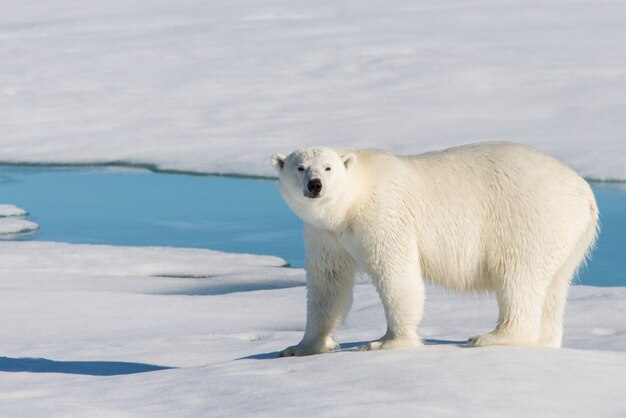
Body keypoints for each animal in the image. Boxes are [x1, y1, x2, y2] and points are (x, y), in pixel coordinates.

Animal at [270, 141, 596, 356]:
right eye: (300, 167)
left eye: (328, 167)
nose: (315, 185)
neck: (354, 199)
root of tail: (585, 193)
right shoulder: (325, 234)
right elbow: (328, 282)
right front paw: (301, 347)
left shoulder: (384, 214)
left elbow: (396, 273)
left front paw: (385, 342)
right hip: (568, 237)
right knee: (554, 286)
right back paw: (545, 341)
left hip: (530, 217)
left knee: (518, 275)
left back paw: (491, 337)